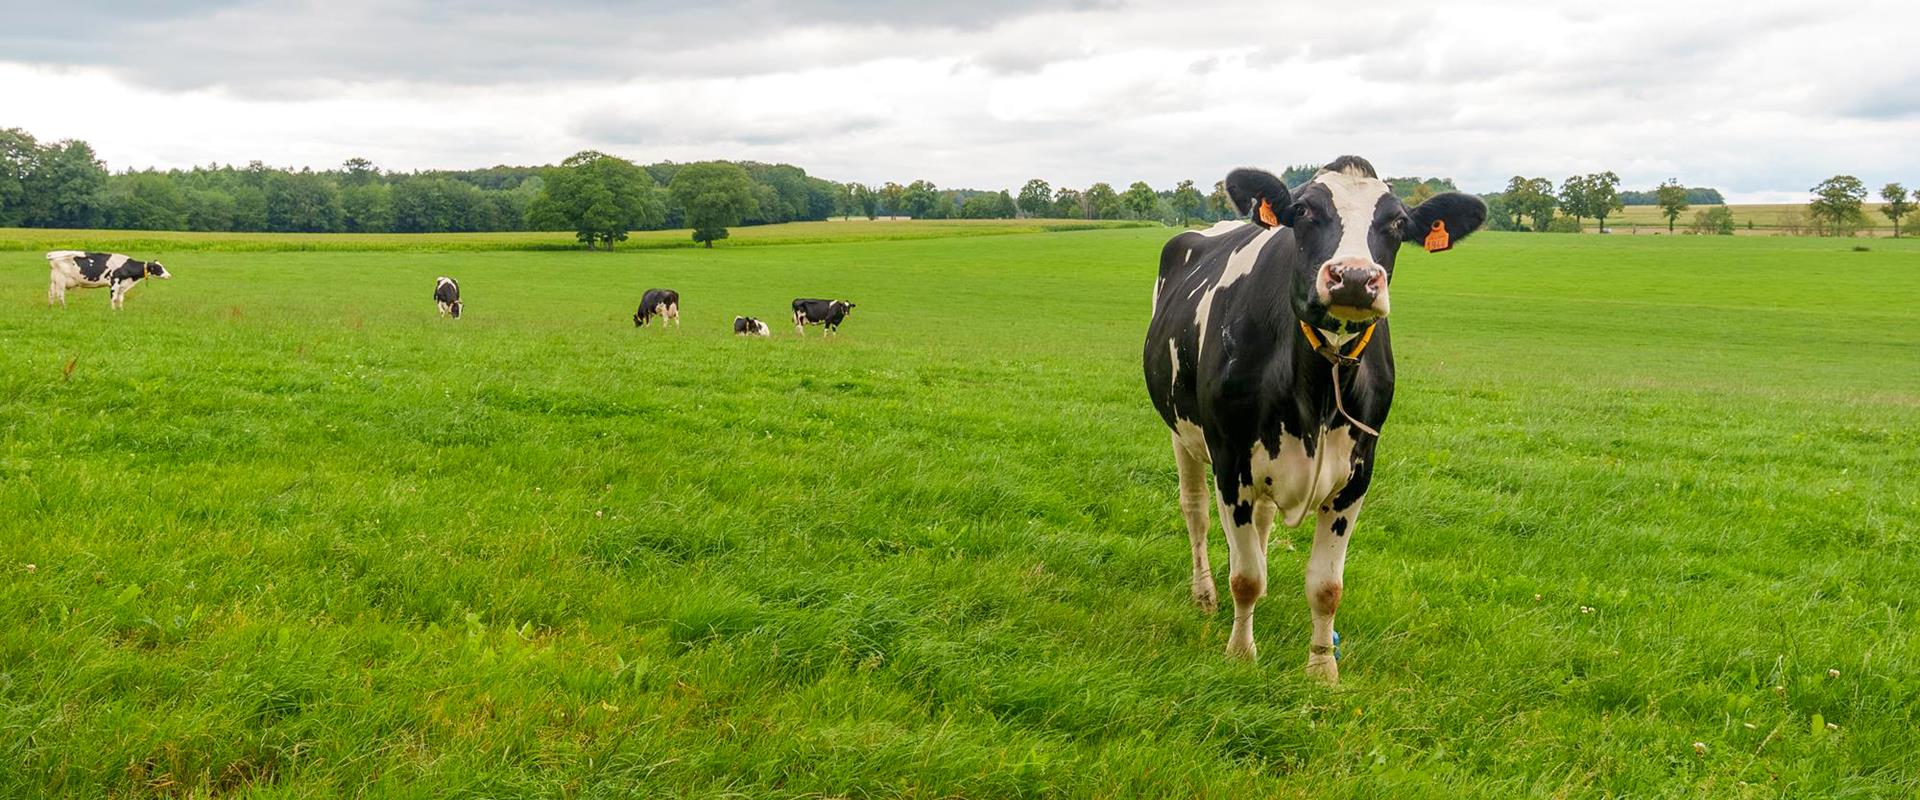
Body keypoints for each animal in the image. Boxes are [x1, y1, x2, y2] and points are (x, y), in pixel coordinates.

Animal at [1136, 155, 1482, 679]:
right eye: (1302, 211)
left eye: (1398, 222)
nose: (1355, 278)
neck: (1317, 386)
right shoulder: (1230, 462)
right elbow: (1245, 576)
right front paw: (1241, 654)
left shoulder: (1357, 475)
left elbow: (1326, 586)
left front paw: (1322, 670)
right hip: (1184, 434)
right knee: (1195, 513)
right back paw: (1204, 594)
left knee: (1260, 523)